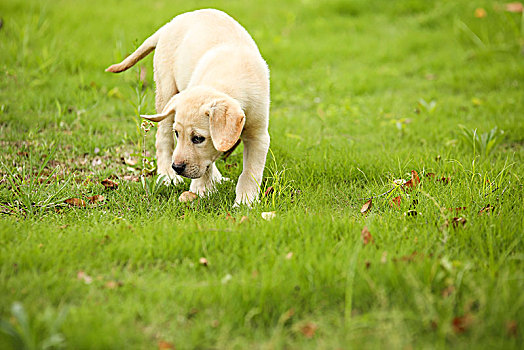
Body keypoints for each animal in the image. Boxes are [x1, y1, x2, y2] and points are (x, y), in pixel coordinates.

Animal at [106, 8, 270, 206]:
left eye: (198, 138)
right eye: (178, 134)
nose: (176, 167)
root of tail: (170, 24)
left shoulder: (258, 136)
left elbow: (250, 172)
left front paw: (245, 202)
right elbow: (204, 167)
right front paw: (201, 189)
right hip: (166, 92)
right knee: (163, 138)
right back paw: (167, 176)